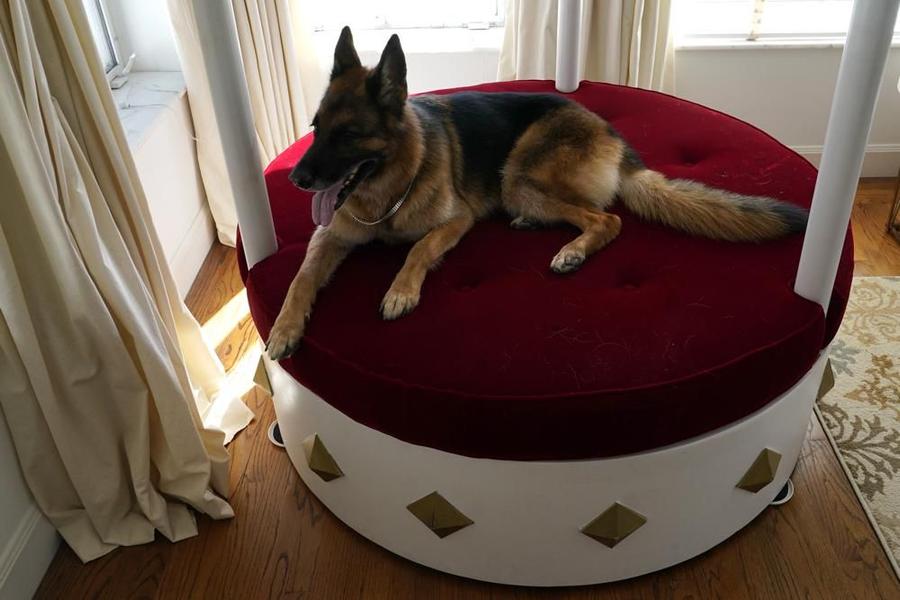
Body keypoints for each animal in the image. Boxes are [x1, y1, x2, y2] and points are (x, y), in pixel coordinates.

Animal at [264, 28, 804, 358]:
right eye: (315, 128)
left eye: (348, 136)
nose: (297, 180)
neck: (387, 193)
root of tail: (610, 132)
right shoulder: (330, 237)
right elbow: (300, 279)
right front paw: (286, 328)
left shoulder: (456, 221)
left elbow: (417, 250)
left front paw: (400, 290)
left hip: (519, 175)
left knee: (607, 219)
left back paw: (571, 251)